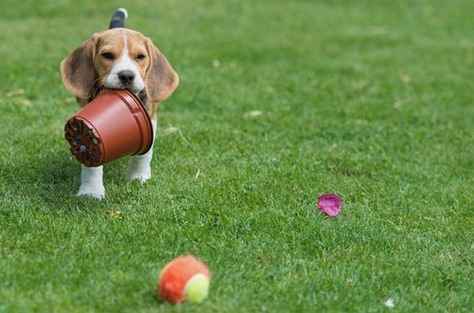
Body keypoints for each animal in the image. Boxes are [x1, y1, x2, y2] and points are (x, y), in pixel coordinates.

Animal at [59, 9, 178, 200]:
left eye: (140, 57)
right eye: (107, 55)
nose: (126, 75)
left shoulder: (150, 117)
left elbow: (144, 153)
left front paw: (138, 176)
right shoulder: (89, 126)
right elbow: (91, 157)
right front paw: (91, 191)